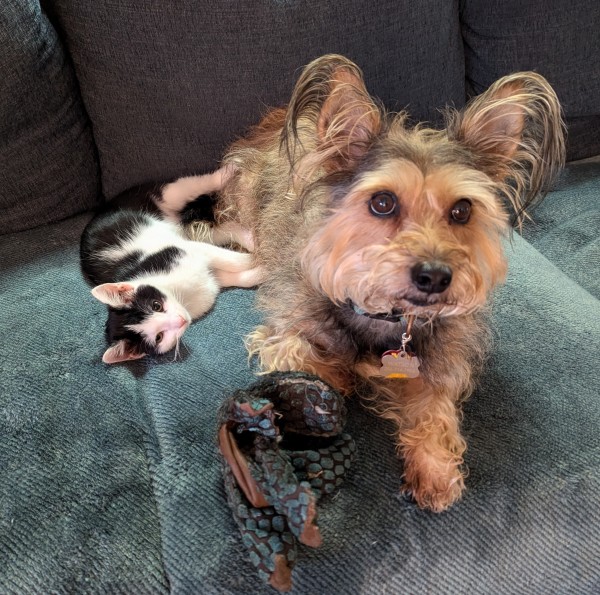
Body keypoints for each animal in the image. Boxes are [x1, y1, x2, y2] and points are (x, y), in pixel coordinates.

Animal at [79, 165, 260, 366]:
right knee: (218, 231)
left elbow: (231, 259)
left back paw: (227, 172)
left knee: (189, 186)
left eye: (156, 305)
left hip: (163, 197)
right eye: (159, 337)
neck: (178, 293)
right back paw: (247, 236)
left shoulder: (183, 250)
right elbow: (235, 276)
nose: (180, 320)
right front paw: (260, 272)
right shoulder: (211, 278)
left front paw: (260, 260)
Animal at [216, 54, 568, 512]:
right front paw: (336, 380)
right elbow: (311, 364)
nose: (435, 276)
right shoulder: (286, 330)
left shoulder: (443, 358)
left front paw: (434, 466)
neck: (388, 314)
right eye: (382, 202)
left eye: (462, 210)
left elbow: (434, 405)